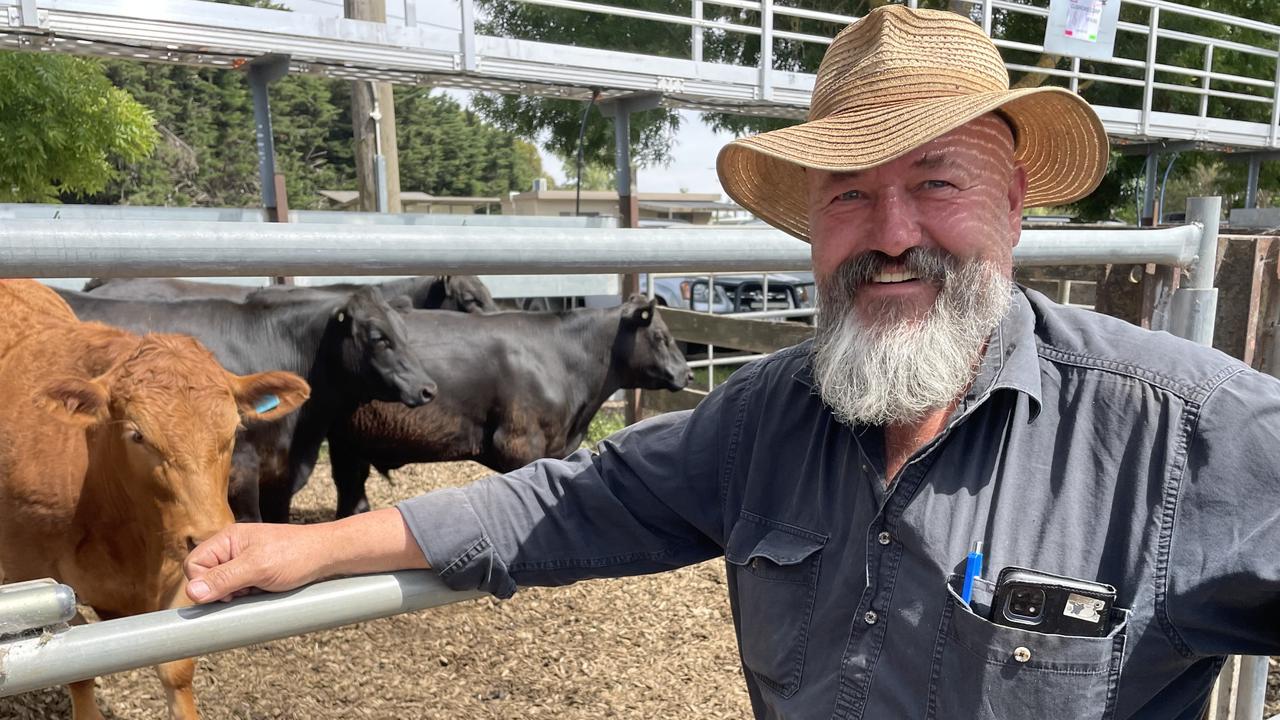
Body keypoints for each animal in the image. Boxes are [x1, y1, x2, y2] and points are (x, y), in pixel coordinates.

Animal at [0, 278, 309, 712]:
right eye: (138, 435)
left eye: (234, 429)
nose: (212, 536)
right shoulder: (30, 572)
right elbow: (77, 669)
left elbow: (175, 664)